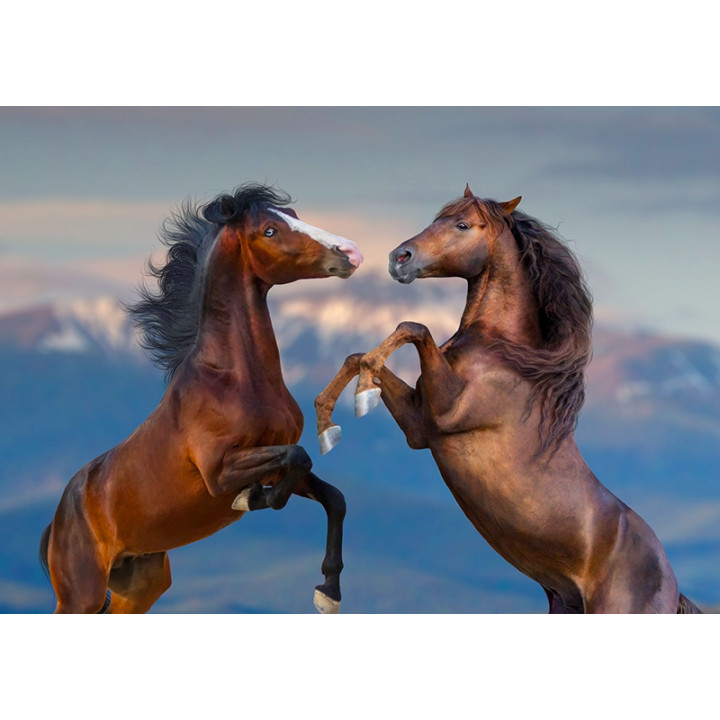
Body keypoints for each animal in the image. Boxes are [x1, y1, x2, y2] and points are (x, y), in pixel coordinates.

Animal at [39, 183, 363, 613]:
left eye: (294, 214)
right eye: (270, 230)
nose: (352, 252)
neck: (235, 381)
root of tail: (56, 522)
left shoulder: (276, 462)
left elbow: (334, 496)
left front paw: (328, 592)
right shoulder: (219, 472)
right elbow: (296, 460)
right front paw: (250, 498)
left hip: (141, 583)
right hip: (82, 595)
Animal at [315, 185, 701, 613]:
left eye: (463, 224)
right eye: (437, 219)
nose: (399, 258)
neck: (500, 351)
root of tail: (672, 586)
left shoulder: (447, 412)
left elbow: (413, 326)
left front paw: (361, 398)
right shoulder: (419, 428)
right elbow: (359, 356)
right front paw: (329, 424)